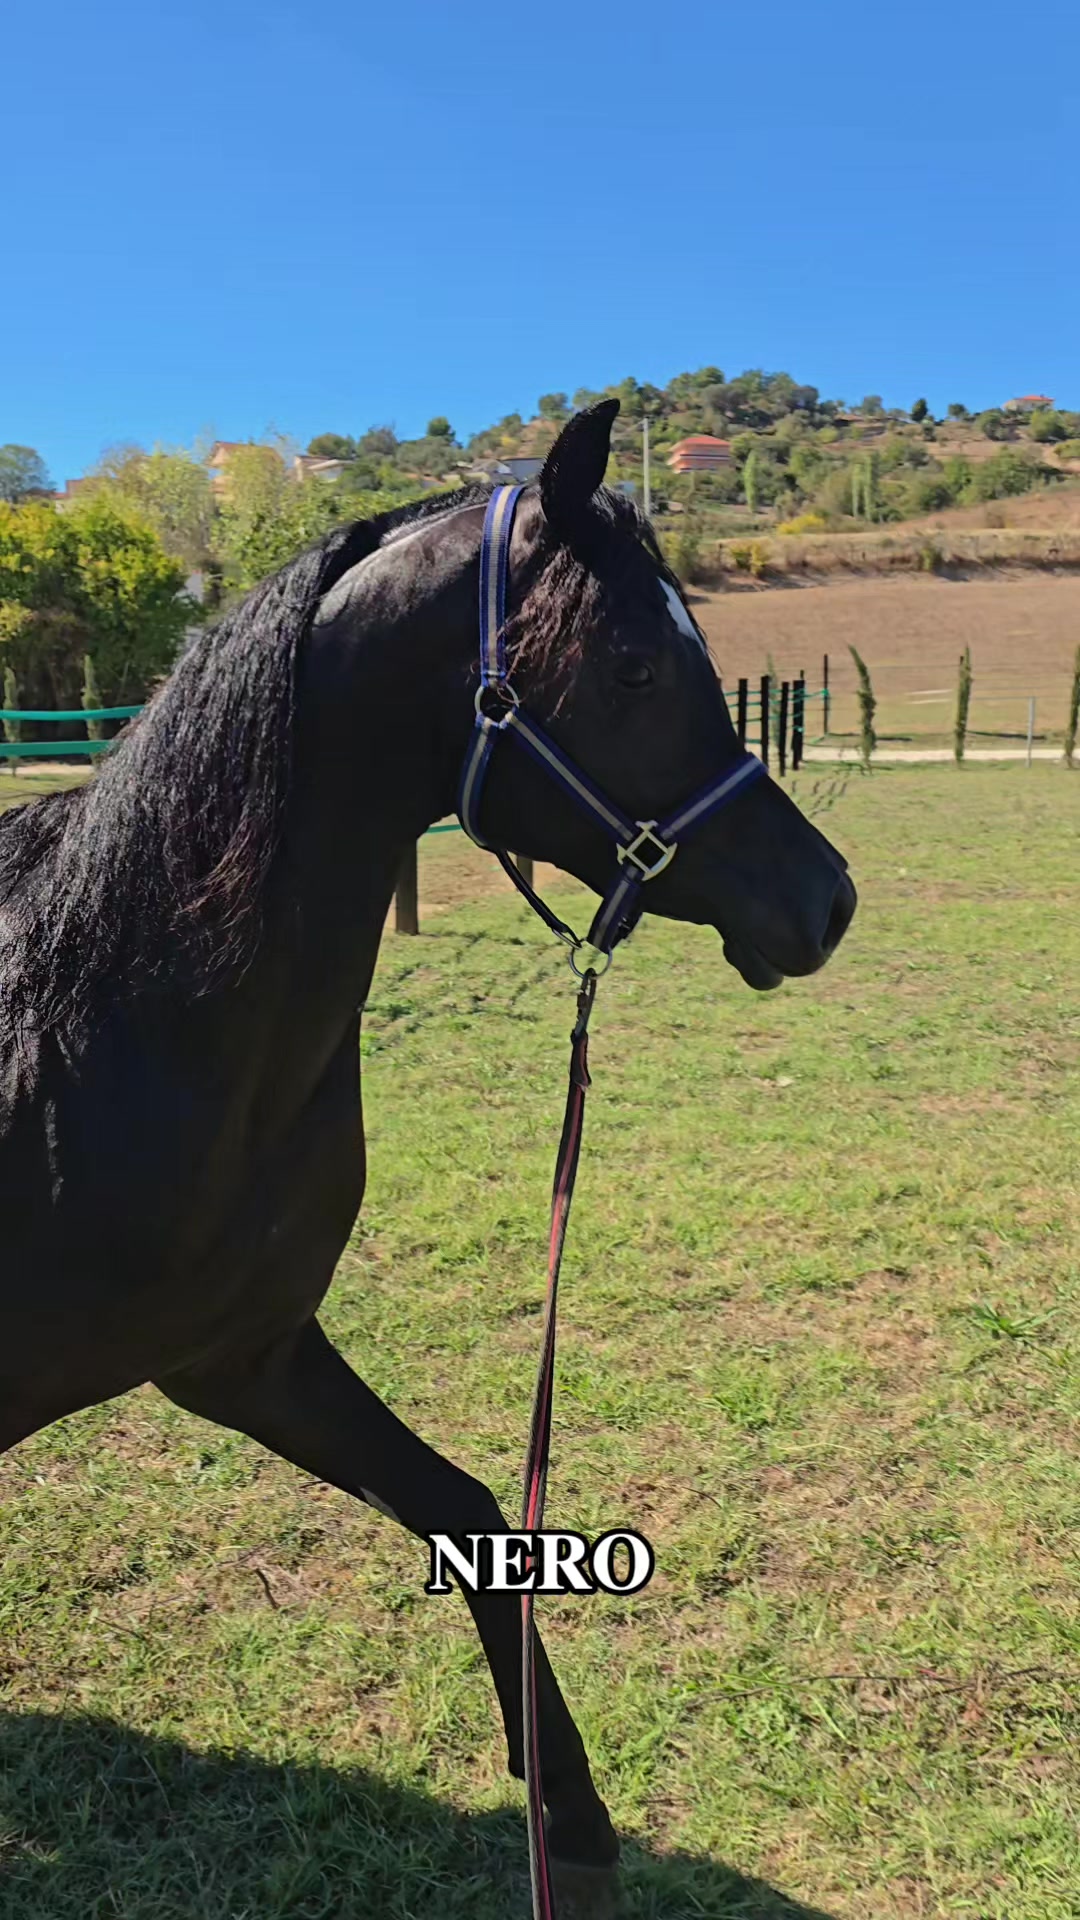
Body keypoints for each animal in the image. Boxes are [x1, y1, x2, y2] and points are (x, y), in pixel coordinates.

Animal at [0, 400, 855, 1912]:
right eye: (636, 664)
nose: (830, 900)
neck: (98, 1024)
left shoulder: (245, 1355)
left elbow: (472, 1519)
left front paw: (572, 1817)